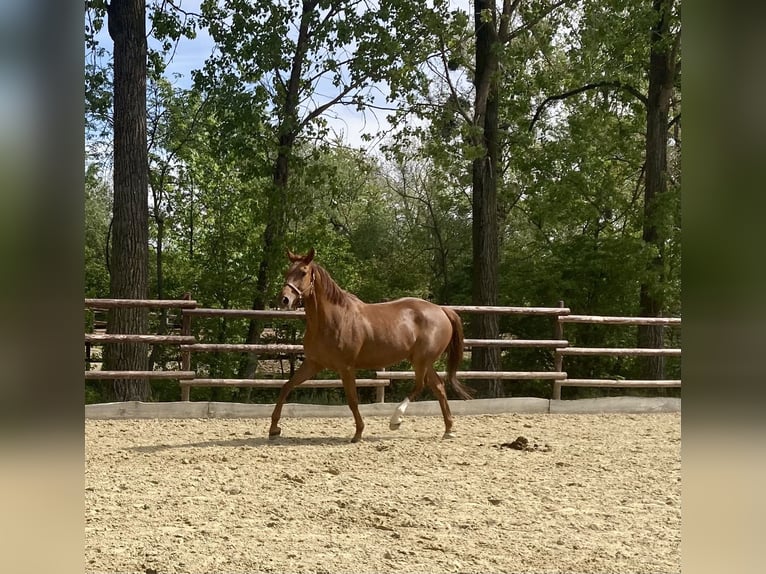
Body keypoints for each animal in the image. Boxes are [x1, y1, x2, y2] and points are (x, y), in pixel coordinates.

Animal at [270, 249, 474, 446]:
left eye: (303, 272)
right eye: (287, 271)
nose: (284, 299)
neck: (332, 320)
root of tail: (441, 310)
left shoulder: (346, 367)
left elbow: (352, 400)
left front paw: (358, 433)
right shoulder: (313, 363)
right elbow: (286, 387)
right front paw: (273, 429)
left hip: (421, 360)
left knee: (420, 385)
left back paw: (396, 420)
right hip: (424, 361)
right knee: (438, 387)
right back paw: (448, 430)